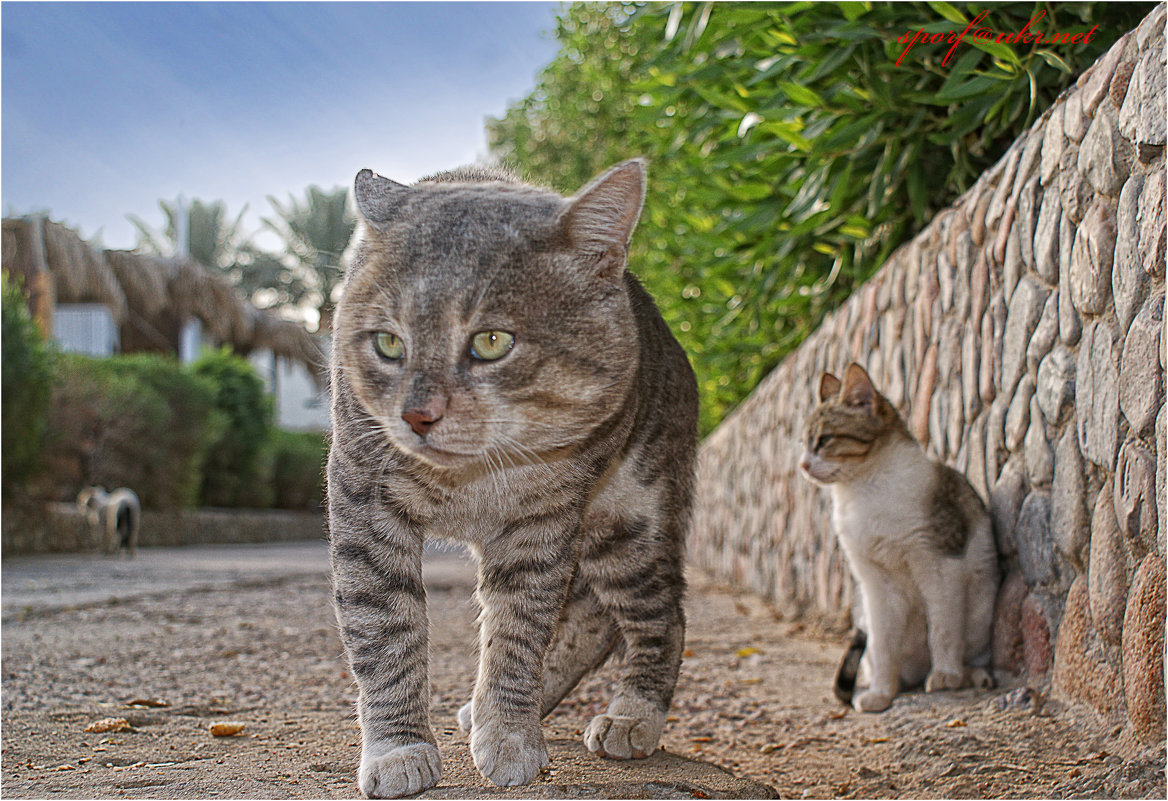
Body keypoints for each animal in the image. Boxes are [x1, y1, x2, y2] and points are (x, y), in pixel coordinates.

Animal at [324, 156, 696, 798]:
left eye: (492, 341)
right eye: (389, 343)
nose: (417, 416)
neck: (474, 473)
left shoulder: (542, 520)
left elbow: (517, 631)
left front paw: (510, 736)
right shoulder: (363, 500)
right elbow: (384, 626)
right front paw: (399, 750)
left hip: (626, 520)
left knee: (657, 616)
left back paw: (632, 717)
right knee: (590, 620)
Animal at [798, 366, 999, 714]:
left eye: (823, 441)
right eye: (805, 445)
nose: (803, 465)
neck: (863, 491)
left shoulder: (939, 564)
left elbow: (943, 628)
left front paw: (946, 673)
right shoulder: (874, 583)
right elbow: (882, 646)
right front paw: (881, 692)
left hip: (979, 612)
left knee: (968, 649)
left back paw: (968, 674)